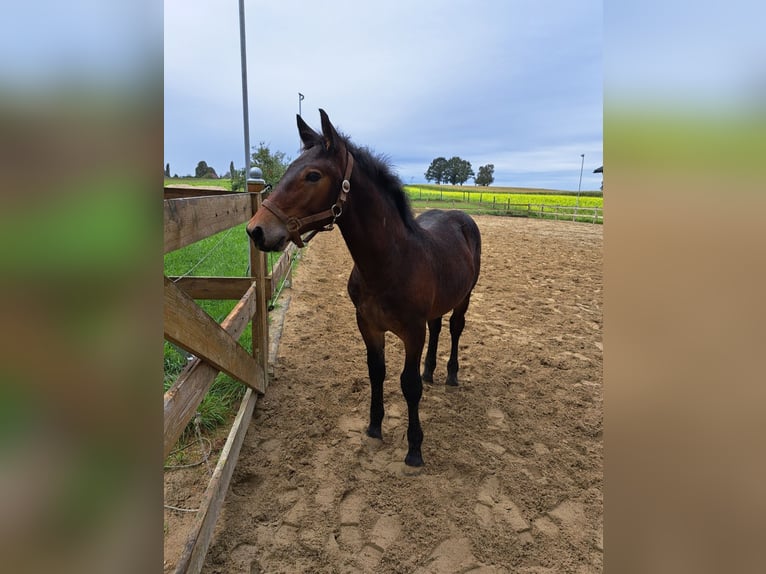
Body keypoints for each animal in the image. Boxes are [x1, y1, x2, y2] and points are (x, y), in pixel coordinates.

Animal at [249, 111, 484, 468]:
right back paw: (430, 371)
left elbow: (408, 384)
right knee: (438, 326)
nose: (256, 230)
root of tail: (462, 218)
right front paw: (375, 426)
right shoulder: (368, 324)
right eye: (289, 167)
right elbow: (377, 372)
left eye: (313, 175)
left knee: (456, 329)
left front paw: (414, 448)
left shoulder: (412, 331)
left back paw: (450, 375)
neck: (389, 264)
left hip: (465, 297)